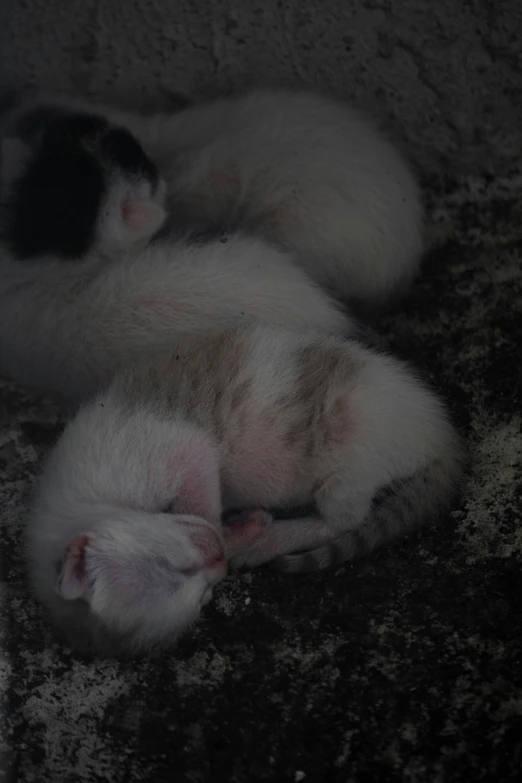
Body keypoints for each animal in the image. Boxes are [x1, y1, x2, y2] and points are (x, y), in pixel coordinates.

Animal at [28, 328, 460, 660]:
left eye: (171, 559)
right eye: (203, 597)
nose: (219, 560)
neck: (82, 499)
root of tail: (439, 432)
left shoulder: (160, 450)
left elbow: (202, 486)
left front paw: (237, 534)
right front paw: (235, 534)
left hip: (352, 451)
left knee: (344, 519)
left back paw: (270, 539)